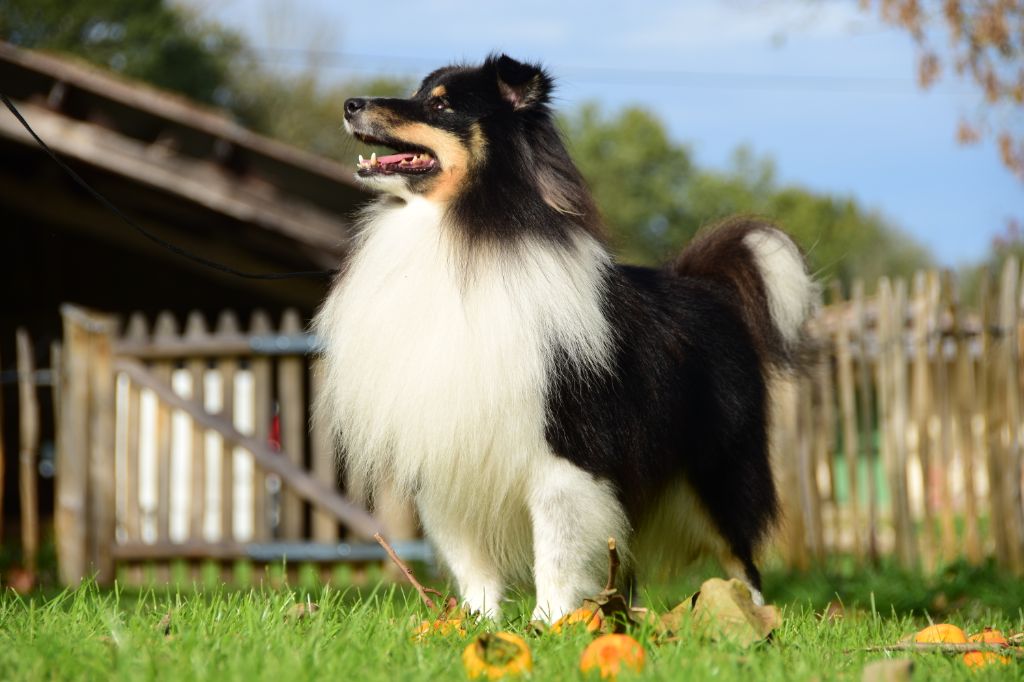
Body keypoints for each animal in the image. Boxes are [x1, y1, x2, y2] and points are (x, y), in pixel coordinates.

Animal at [311, 54, 815, 622]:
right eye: (419, 94)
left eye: (441, 106)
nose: (351, 103)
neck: (459, 235)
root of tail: (703, 287)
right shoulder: (449, 459)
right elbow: (472, 562)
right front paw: (476, 624)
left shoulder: (564, 456)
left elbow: (555, 548)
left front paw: (549, 624)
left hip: (720, 471)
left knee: (741, 555)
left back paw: (753, 616)